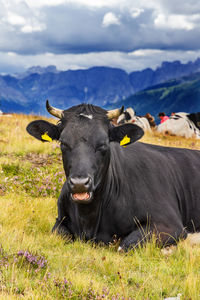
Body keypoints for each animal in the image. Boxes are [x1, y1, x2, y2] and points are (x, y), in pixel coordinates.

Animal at [26, 101, 200, 251]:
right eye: (63, 143)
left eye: (103, 144)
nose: (80, 183)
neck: (88, 220)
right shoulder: (59, 220)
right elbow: (59, 233)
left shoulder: (169, 224)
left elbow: (126, 245)